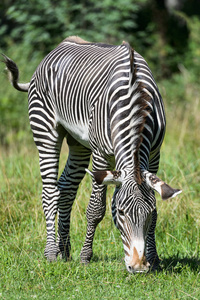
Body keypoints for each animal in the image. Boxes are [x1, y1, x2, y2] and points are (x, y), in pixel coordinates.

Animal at [2, 36, 182, 274]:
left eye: (149, 213)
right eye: (121, 213)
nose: (138, 267)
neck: (135, 104)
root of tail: (62, 44)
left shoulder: (154, 154)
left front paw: (154, 259)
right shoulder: (101, 155)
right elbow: (96, 209)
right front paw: (85, 257)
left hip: (78, 143)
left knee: (66, 189)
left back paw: (64, 250)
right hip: (45, 129)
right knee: (50, 191)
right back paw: (51, 252)